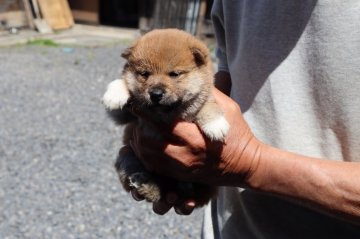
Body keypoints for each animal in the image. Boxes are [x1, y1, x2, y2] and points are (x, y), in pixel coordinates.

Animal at [102, 28, 229, 207]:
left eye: (174, 74)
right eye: (144, 74)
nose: (155, 94)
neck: (166, 113)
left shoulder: (205, 98)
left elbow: (208, 106)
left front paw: (215, 124)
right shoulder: (129, 118)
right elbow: (124, 86)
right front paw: (115, 92)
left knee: (193, 191)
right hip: (126, 154)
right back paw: (145, 184)